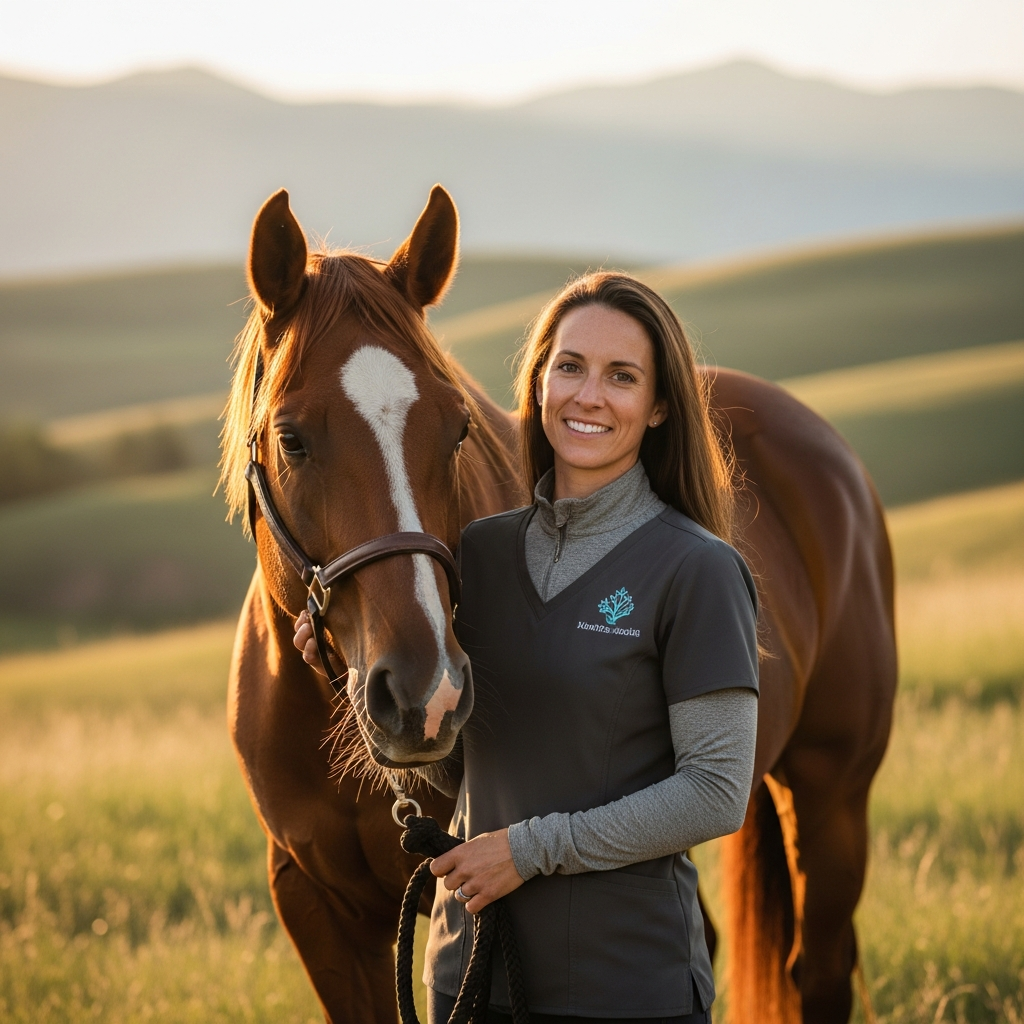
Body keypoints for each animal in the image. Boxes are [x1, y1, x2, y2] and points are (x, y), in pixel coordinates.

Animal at [221, 184, 896, 1024]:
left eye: (457, 430)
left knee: (821, 968)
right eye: (291, 438)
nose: (424, 696)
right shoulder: (316, 907)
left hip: (833, 796)